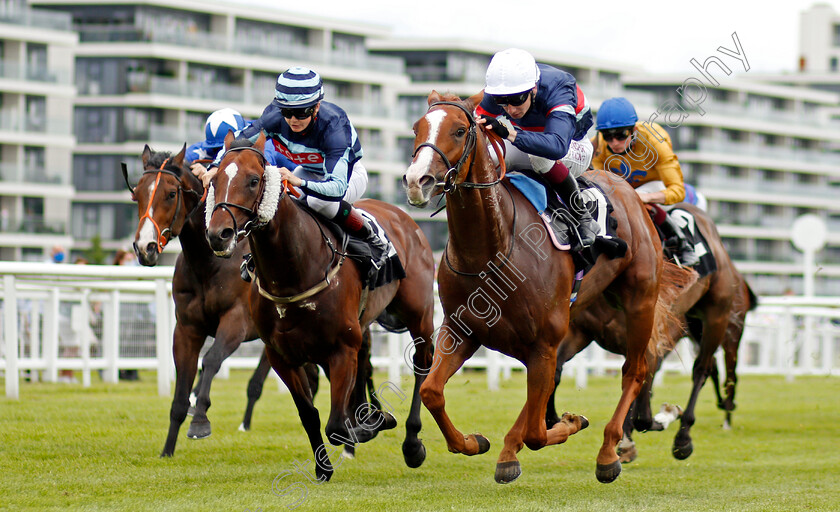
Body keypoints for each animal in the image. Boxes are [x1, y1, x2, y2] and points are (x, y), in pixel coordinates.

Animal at [206, 131, 436, 480]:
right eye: (215, 179)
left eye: (253, 180)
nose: (219, 234)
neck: (294, 271)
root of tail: (404, 218)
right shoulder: (283, 356)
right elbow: (310, 415)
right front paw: (323, 466)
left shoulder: (340, 348)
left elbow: (337, 425)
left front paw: (370, 426)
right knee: (365, 365)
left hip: (418, 315)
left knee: (422, 365)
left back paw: (412, 443)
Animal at [404, 92, 668, 484]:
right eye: (416, 128)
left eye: (460, 129)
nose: (416, 180)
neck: (490, 250)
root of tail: (629, 191)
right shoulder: (462, 330)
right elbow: (432, 391)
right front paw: (474, 441)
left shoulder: (542, 341)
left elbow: (536, 432)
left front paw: (571, 423)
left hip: (640, 301)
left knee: (635, 369)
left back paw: (608, 452)